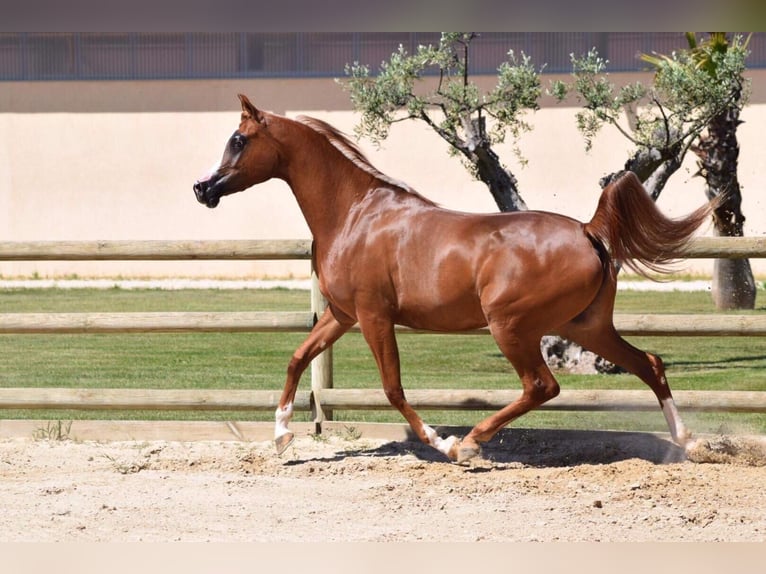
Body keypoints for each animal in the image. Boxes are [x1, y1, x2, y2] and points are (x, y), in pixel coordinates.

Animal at [194, 94, 713, 463]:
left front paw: (441, 442)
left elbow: (393, 388)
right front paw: (281, 436)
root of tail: (589, 230)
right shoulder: (342, 315)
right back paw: (688, 442)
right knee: (649, 363)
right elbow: (297, 358)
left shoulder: (373, 316)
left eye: (239, 139)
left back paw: (470, 442)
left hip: (512, 326)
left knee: (542, 386)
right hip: (584, 326)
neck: (355, 214)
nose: (202, 188)